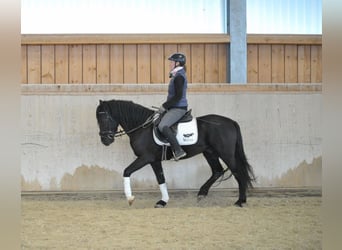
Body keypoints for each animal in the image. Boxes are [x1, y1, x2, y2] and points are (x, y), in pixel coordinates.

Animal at [96, 99, 254, 207]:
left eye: (104, 117)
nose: (105, 140)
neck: (142, 128)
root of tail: (231, 122)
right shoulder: (154, 160)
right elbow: (161, 179)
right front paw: (162, 201)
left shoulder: (145, 157)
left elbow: (127, 171)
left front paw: (130, 198)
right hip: (210, 152)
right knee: (217, 171)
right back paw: (202, 194)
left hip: (225, 153)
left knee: (238, 172)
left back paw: (240, 201)